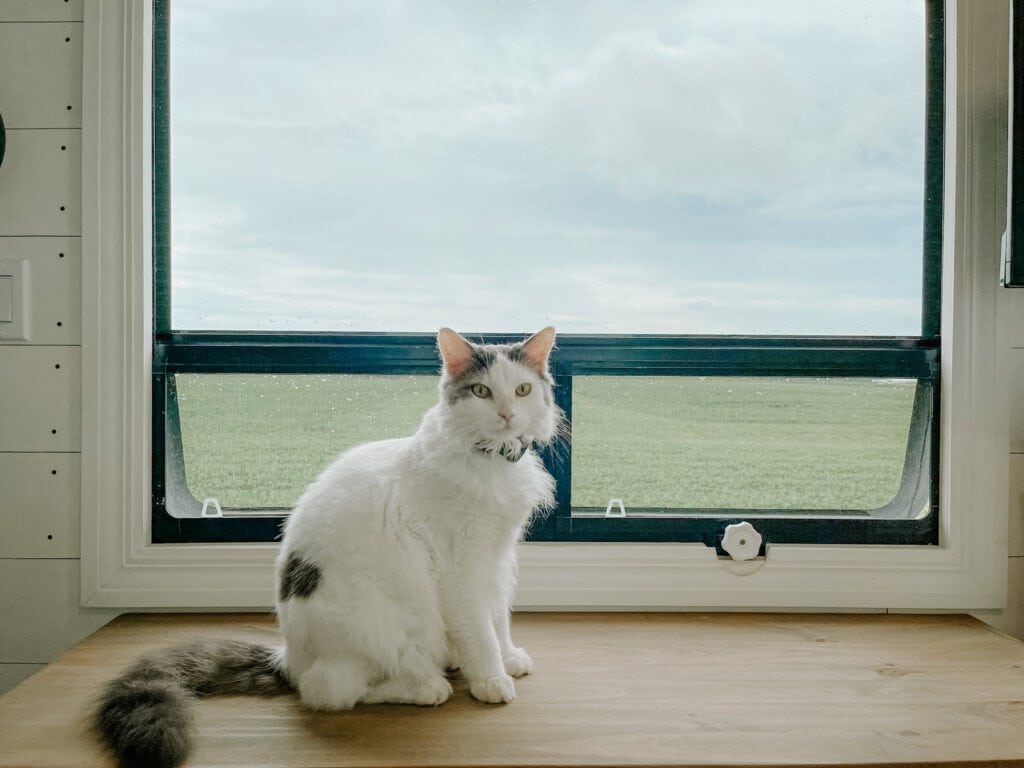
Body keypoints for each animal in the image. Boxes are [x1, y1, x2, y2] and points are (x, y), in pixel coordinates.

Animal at [93, 327, 561, 768]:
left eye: (522, 390)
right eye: (482, 392)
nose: (507, 414)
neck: (491, 462)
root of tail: (287, 659)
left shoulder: (497, 558)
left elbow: (498, 619)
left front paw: (509, 658)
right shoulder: (462, 568)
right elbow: (479, 630)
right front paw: (490, 678)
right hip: (375, 629)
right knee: (334, 692)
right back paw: (427, 686)